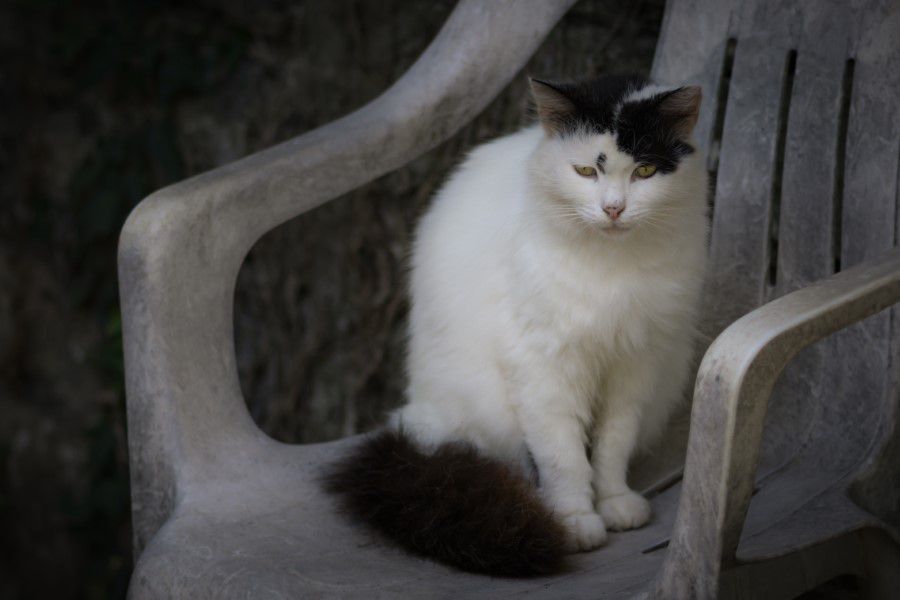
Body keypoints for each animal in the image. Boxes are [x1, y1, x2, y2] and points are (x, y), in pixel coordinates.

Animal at [324, 75, 712, 576]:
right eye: (585, 172)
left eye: (644, 172)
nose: (613, 209)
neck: (611, 272)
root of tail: (415, 417)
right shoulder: (544, 368)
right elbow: (563, 457)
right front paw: (574, 521)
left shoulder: (633, 365)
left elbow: (611, 448)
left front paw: (614, 504)